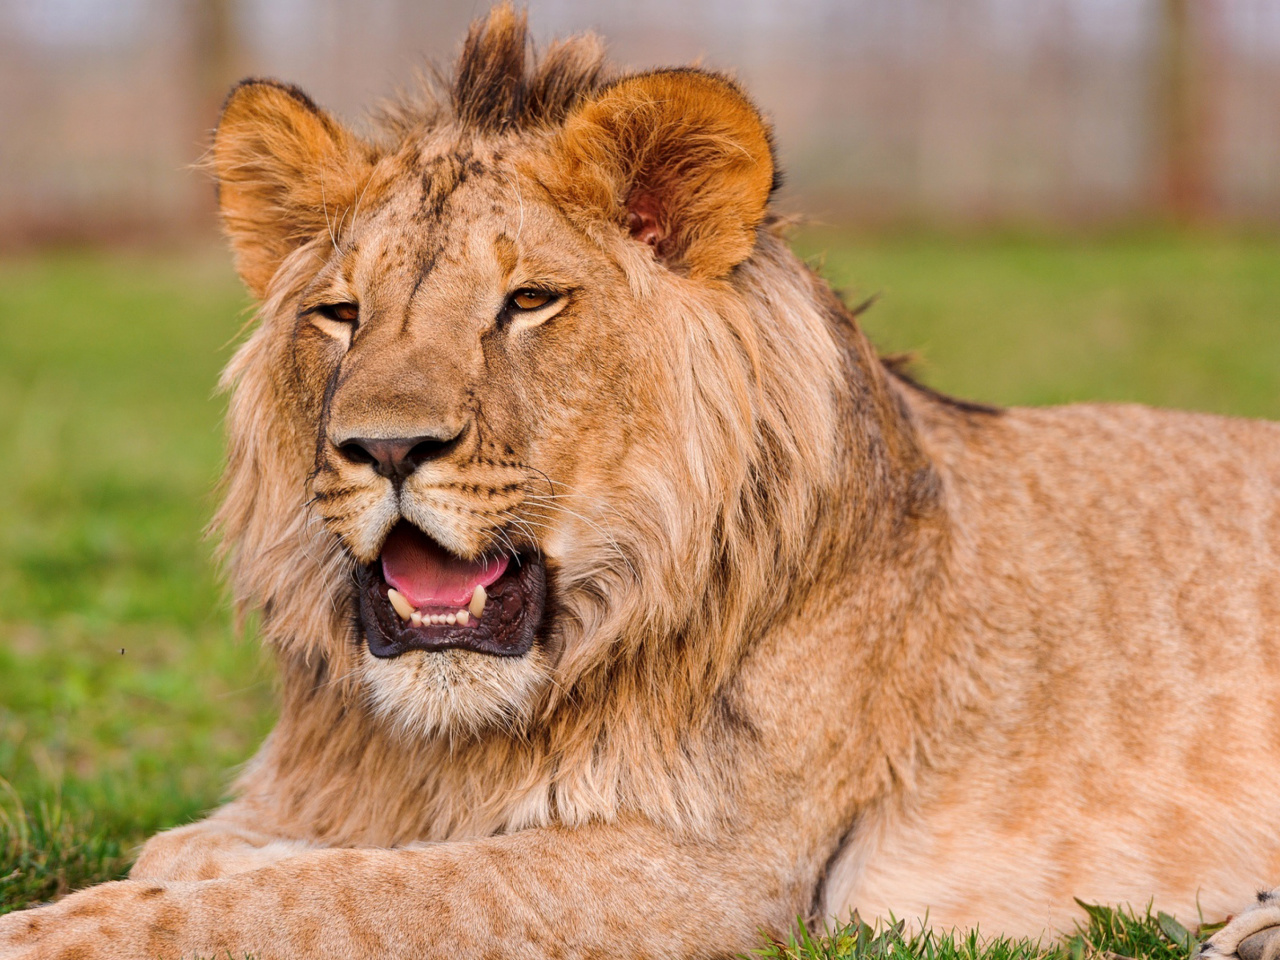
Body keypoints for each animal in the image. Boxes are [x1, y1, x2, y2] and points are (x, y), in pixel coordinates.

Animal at [7, 7, 1280, 960]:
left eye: (527, 302)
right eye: (340, 312)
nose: (385, 448)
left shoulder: (708, 871)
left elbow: (329, 900)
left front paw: (46, 932)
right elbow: (198, 857)